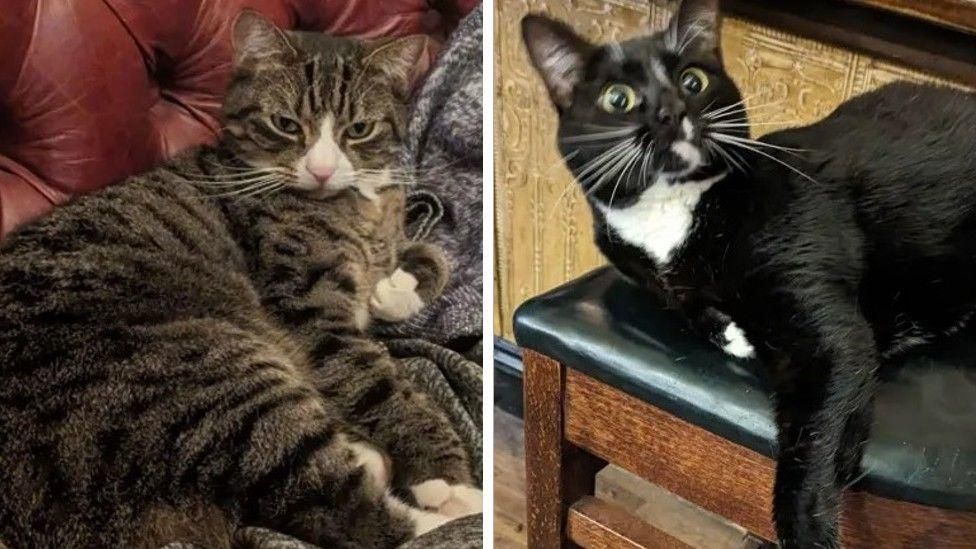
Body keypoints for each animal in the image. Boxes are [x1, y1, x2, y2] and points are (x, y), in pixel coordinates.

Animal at [0, 9, 480, 548]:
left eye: (358, 129)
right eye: (285, 124)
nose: (321, 170)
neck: (352, 204)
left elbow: (434, 255)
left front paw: (395, 289)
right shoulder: (310, 310)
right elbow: (382, 385)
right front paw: (445, 478)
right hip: (215, 380)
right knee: (339, 507)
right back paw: (456, 509)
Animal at [524, 2, 976, 544]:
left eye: (693, 80)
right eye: (619, 98)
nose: (671, 110)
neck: (674, 214)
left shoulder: (821, 314)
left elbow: (819, 418)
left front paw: (809, 529)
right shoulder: (638, 264)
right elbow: (679, 300)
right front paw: (726, 329)